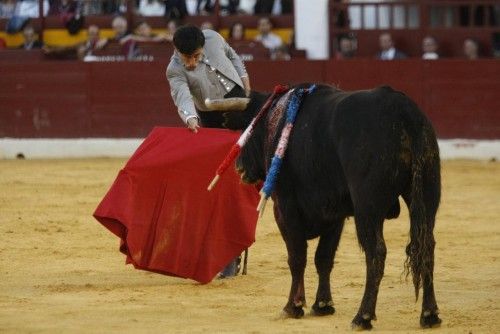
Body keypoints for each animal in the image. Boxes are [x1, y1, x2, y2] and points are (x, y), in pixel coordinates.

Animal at [221, 83, 440, 328]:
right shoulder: (334, 215)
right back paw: (429, 314)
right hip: (426, 195)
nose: (239, 168)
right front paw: (323, 304)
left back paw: (363, 316)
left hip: (367, 207)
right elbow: (323, 257)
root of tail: (404, 111)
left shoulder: (285, 209)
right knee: (427, 247)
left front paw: (293, 306)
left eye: (248, 130)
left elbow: (297, 257)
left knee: (376, 252)